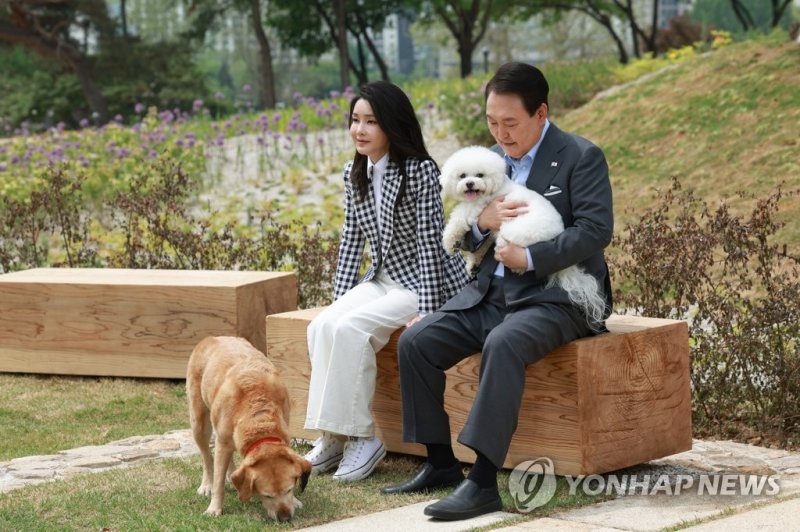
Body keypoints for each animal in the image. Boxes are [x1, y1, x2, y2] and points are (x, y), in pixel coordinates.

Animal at [188, 336, 312, 520]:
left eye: (289, 490)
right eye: (267, 495)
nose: (285, 518)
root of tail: (211, 338)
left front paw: (295, 500)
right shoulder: (223, 442)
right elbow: (218, 482)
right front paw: (214, 508)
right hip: (199, 423)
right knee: (206, 457)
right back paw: (206, 485)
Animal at [440, 147, 604, 328]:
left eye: (480, 175)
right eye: (462, 176)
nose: (469, 183)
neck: (493, 189)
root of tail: (557, 235)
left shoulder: (479, 207)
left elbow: (458, 217)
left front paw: (450, 242)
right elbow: (482, 241)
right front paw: (473, 262)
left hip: (513, 230)